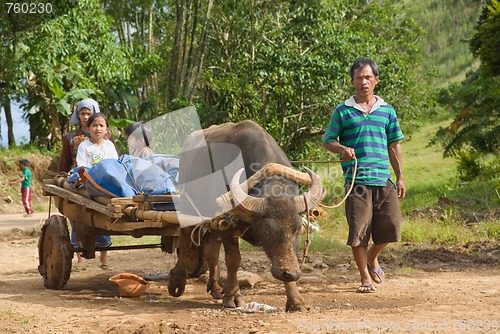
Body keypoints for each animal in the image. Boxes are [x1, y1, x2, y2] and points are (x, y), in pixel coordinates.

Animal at [170, 119, 322, 310]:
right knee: (185, 239)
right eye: (268, 230)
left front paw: (296, 300)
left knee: (211, 249)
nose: (290, 272)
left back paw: (216, 288)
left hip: (215, 222)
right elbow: (233, 260)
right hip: (188, 205)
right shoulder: (229, 227)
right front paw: (233, 296)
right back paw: (177, 281)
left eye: (297, 229)